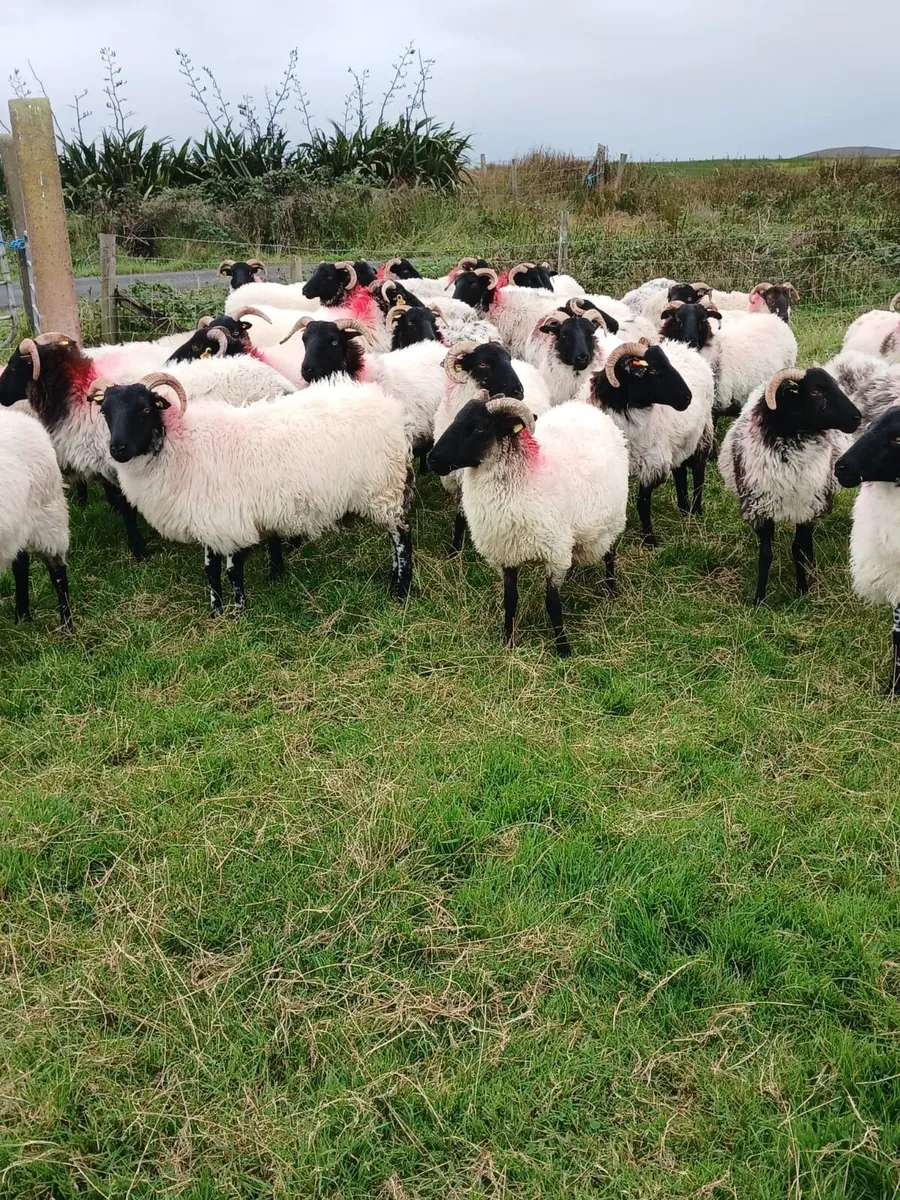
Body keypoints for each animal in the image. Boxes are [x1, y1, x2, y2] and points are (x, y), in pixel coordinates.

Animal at [95, 372, 413, 614]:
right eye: (105, 412)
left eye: (146, 409)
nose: (118, 449)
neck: (181, 446)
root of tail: (390, 408)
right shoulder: (210, 518)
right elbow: (210, 569)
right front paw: (215, 613)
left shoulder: (232, 520)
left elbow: (232, 571)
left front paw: (239, 612)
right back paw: (392, 580)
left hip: (384, 487)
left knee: (401, 535)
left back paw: (401, 590)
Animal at [427, 392, 628, 656]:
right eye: (457, 418)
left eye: (478, 428)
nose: (432, 460)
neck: (523, 476)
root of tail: (587, 409)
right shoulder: (507, 553)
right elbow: (510, 599)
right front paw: (508, 641)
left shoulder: (554, 553)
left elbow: (552, 603)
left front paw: (563, 648)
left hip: (614, 519)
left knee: (610, 554)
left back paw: (611, 591)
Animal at [578, 339, 715, 544]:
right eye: (653, 370)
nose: (687, 398)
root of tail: (687, 348)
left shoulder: (651, 464)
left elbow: (643, 504)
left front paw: (650, 539)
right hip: (678, 442)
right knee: (680, 472)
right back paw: (683, 507)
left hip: (702, 435)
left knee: (699, 474)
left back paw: (695, 511)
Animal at [719, 367, 861, 605]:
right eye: (815, 391)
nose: (857, 418)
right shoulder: (762, 507)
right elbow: (766, 554)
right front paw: (759, 599)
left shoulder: (805, 507)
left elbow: (798, 549)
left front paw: (802, 589)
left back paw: (811, 563)